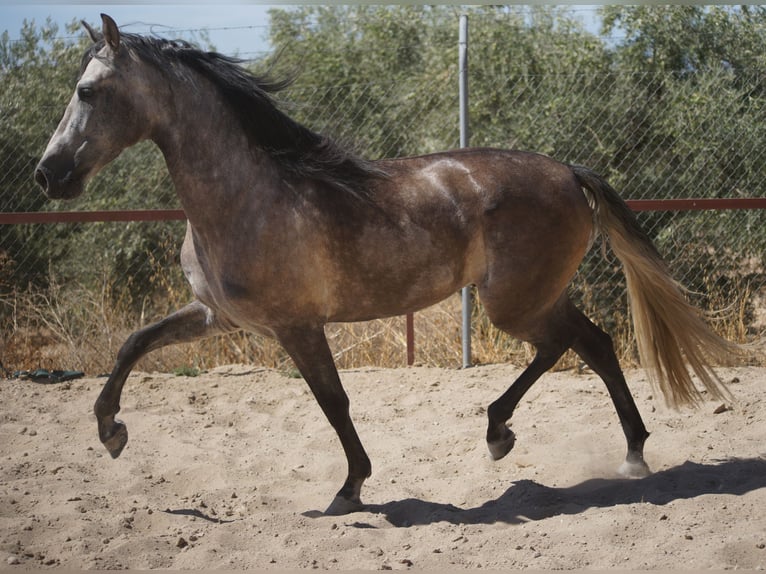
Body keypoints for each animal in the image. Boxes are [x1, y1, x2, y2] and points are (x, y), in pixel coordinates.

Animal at [34, 14, 744, 516]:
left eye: (87, 91)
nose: (48, 175)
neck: (249, 196)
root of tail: (569, 171)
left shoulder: (296, 327)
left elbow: (333, 401)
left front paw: (350, 488)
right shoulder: (219, 316)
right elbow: (134, 343)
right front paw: (111, 432)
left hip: (512, 303)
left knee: (574, 344)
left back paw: (516, 434)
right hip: (531, 296)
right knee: (592, 344)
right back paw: (610, 451)